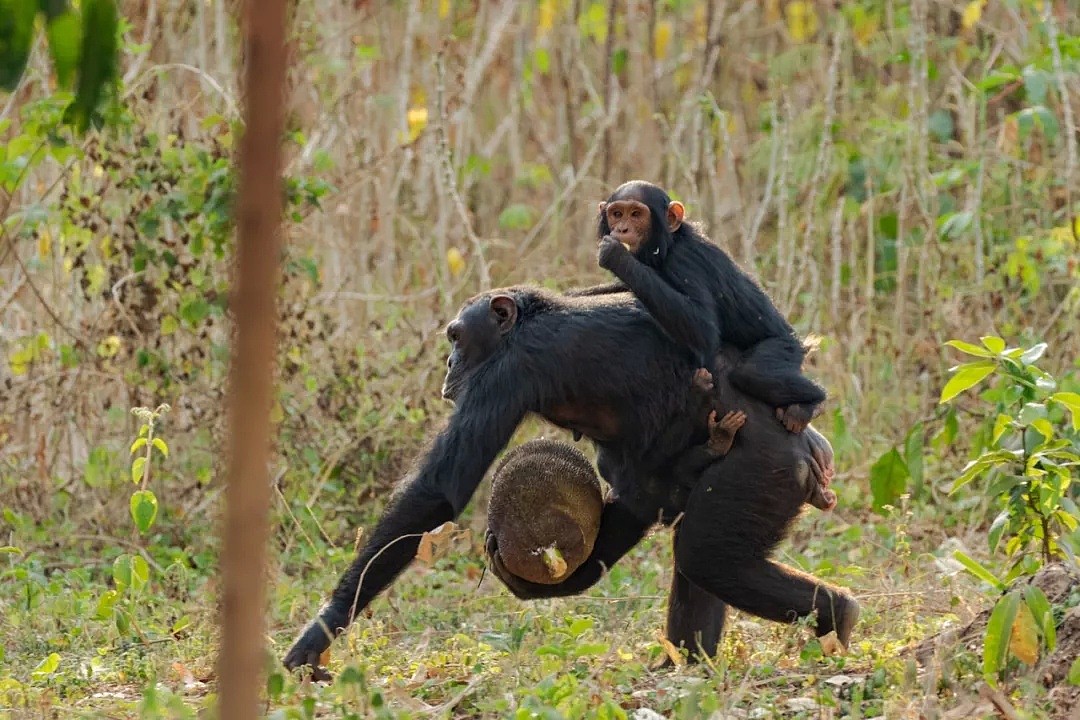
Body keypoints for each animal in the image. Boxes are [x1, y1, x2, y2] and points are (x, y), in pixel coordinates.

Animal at [282, 284, 855, 677]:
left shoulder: (507, 373)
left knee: (706, 555)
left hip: (764, 469)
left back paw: (836, 616)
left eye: (457, 336)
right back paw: (686, 667)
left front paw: (318, 632)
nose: (448, 361)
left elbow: (438, 490)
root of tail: (800, 451)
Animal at [591, 183, 825, 436]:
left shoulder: (685, 263)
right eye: (617, 214)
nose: (622, 228)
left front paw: (617, 256)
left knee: (752, 373)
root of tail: (800, 342)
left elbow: (704, 327)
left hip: (784, 347)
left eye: (636, 214)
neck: (666, 246)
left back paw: (810, 404)